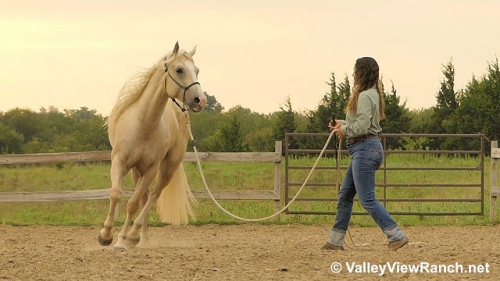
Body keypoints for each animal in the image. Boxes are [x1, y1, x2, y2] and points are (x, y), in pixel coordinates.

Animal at [97, 42, 207, 249]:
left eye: (196, 70)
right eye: (179, 69)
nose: (201, 100)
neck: (144, 124)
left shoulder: (151, 169)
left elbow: (133, 204)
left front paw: (122, 240)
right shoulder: (120, 162)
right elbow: (116, 194)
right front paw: (105, 236)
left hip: (167, 167)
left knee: (153, 195)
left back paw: (135, 235)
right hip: (136, 171)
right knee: (145, 197)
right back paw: (141, 237)